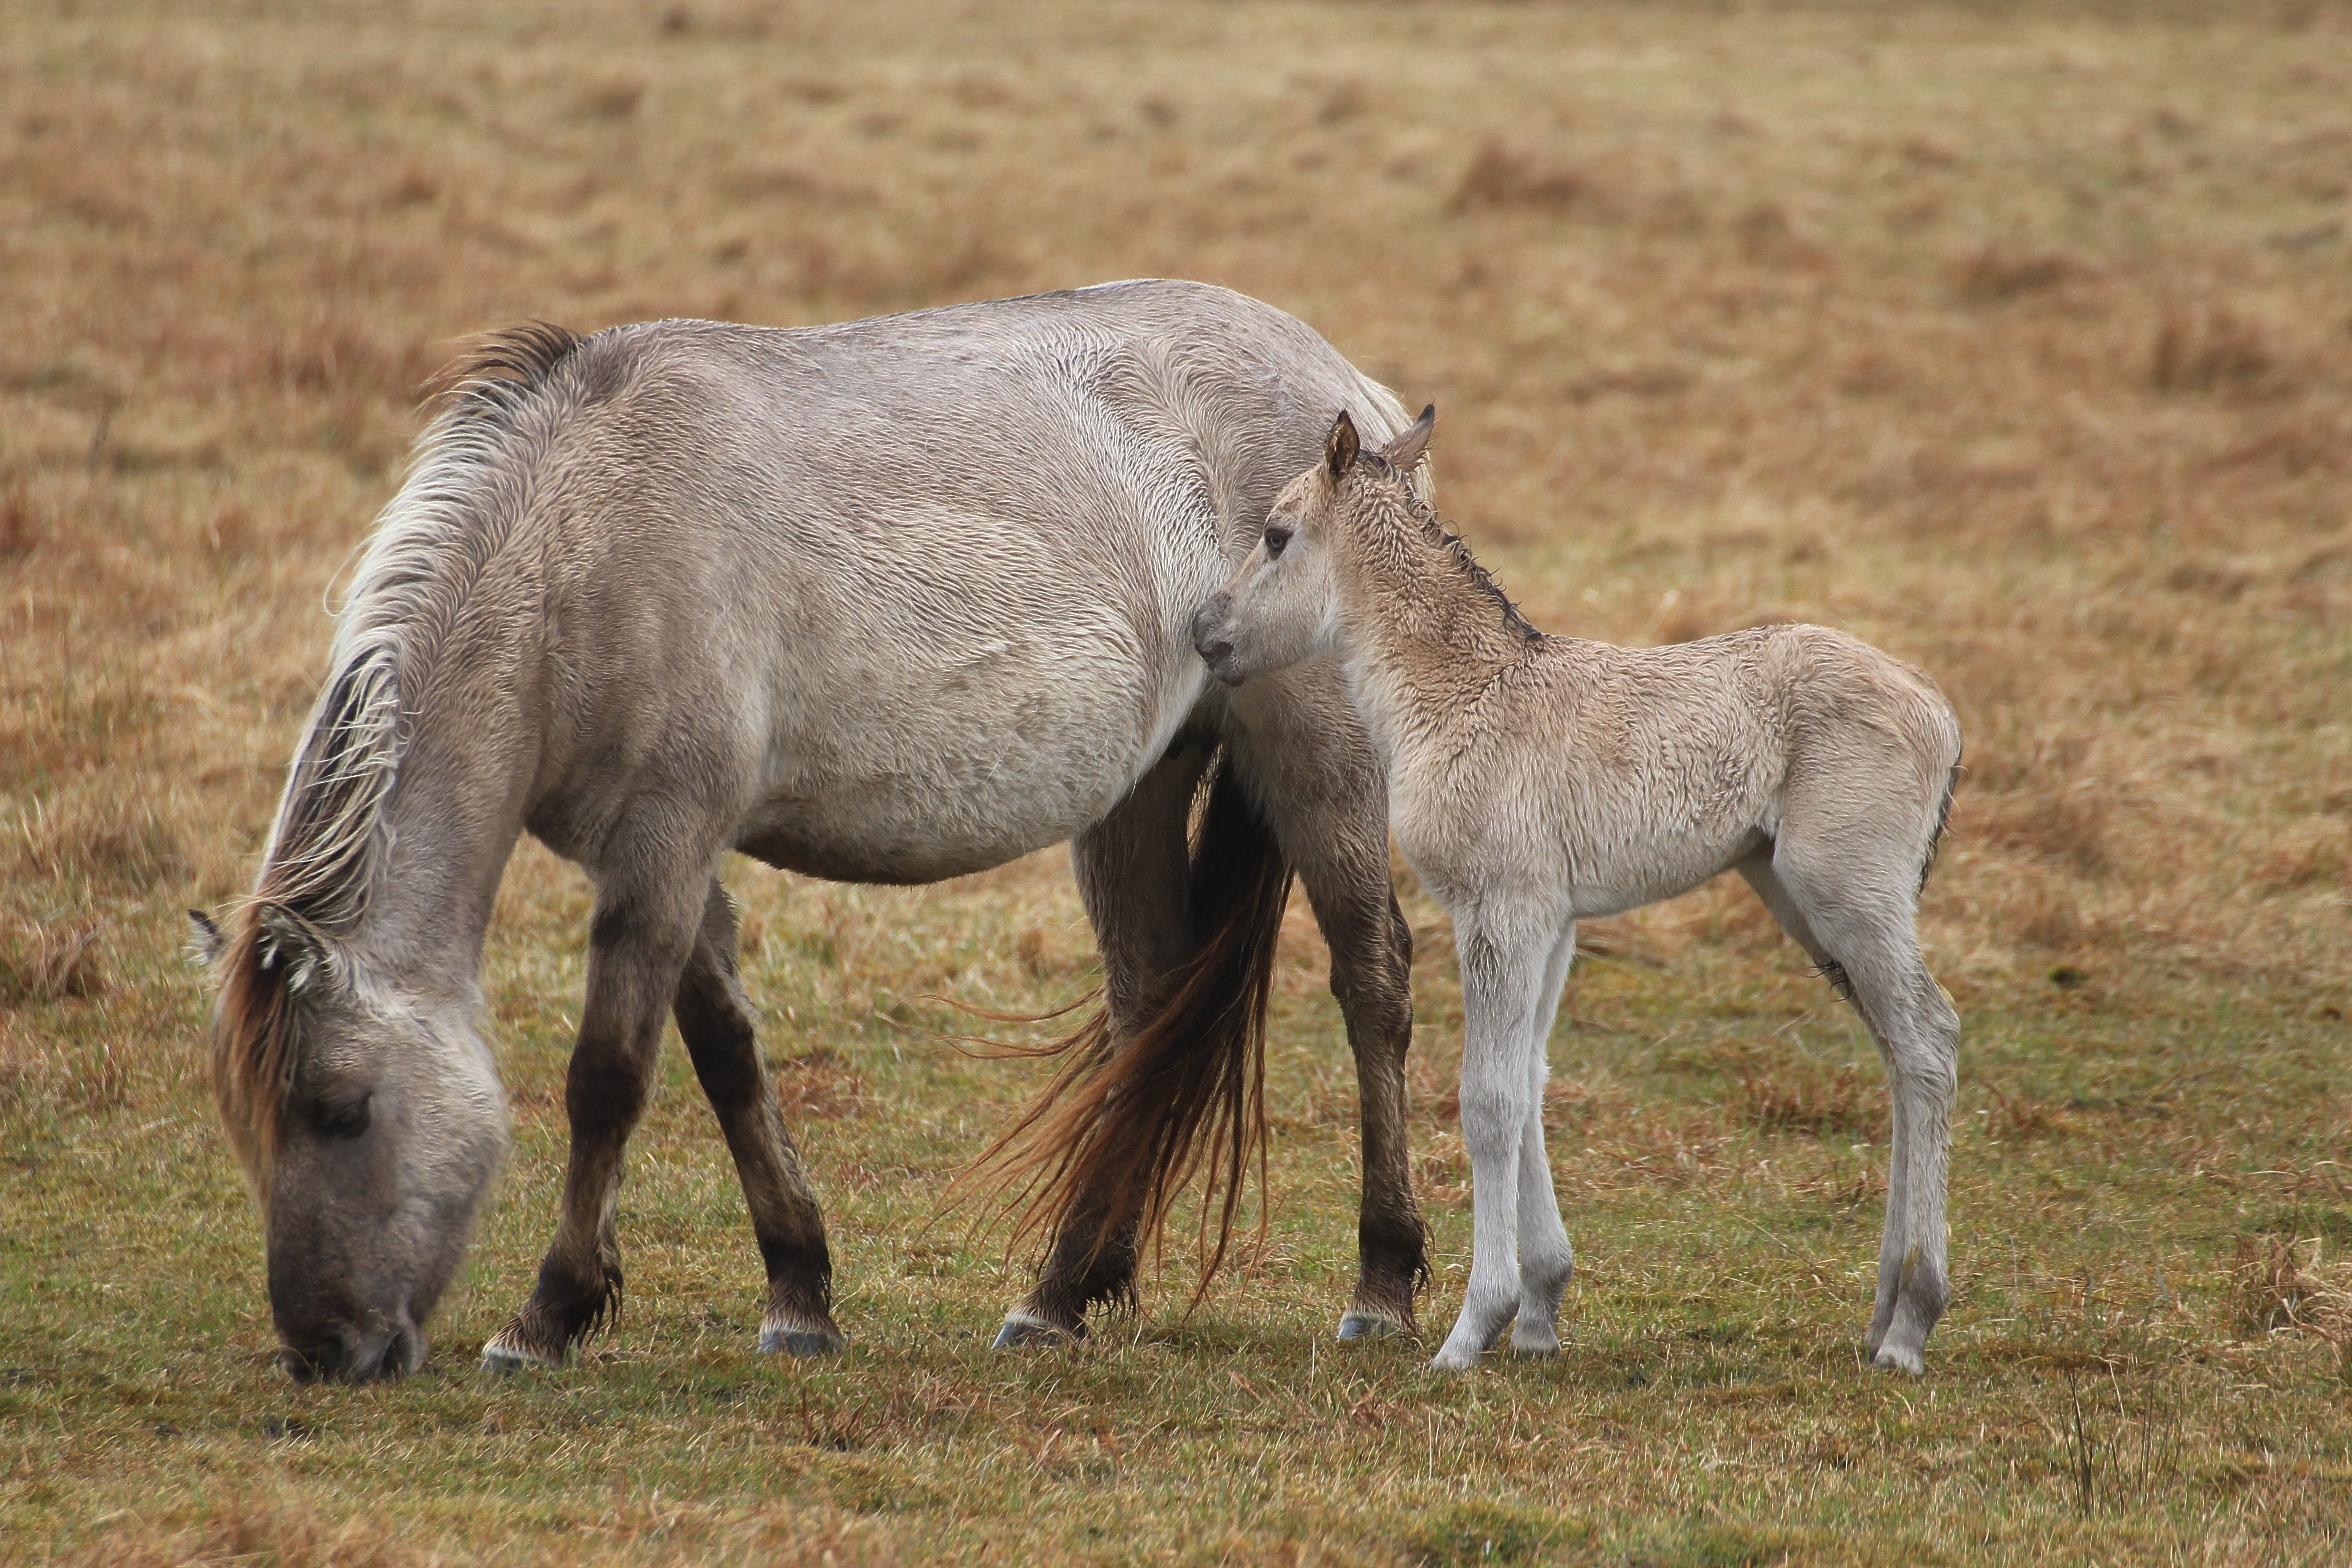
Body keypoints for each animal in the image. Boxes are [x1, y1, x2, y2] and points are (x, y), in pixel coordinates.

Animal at [193, 281, 1437, 1382]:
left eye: (340, 1110)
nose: (321, 1352)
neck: (581, 553)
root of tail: (1361, 403)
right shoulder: (663, 856)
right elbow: (726, 1055)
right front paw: (797, 1293)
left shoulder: (664, 840)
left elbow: (608, 1074)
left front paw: (546, 1316)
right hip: (1138, 794)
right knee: (1147, 1015)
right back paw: (1063, 1293)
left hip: (1320, 765)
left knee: (1371, 980)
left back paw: (1380, 1284)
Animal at [1187, 408, 1964, 1373]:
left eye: (1275, 535)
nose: (1204, 632)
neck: (1461, 695)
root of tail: (1939, 712)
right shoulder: (1548, 917)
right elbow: (1527, 1077)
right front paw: (1538, 1314)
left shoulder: (1499, 907)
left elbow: (1486, 1098)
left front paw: (1470, 1330)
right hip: (1803, 903)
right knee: (1896, 1054)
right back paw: (1879, 1313)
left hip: (1849, 894)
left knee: (1928, 1041)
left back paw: (1909, 1325)